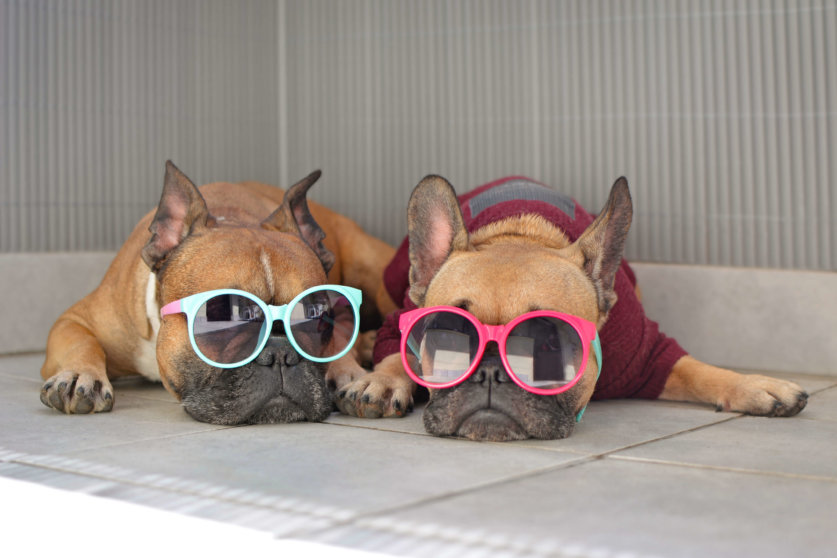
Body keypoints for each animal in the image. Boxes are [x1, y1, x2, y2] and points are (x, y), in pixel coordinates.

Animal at [37, 162, 394, 424]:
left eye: (317, 316)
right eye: (220, 317)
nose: (281, 354)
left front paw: (347, 369)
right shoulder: (75, 320)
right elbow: (81, 341)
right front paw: (79, 374)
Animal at [334, 175, 808, 442]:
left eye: (550, 345)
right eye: (449, 337)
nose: (490, 372)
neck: (521, 234)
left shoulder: (646, 354)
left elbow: (697, 370)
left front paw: (756, 386)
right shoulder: (403, 322)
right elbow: (397, 352)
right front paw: (382, 381)